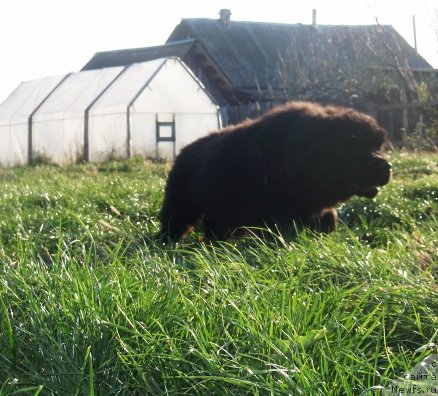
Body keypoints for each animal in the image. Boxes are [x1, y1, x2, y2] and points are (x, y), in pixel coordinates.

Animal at [159, 100, 392, 240]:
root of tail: (184, 151)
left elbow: (327, 218)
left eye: (377, 146)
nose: (388, 167)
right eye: (356, 149)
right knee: (178, 221)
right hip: (182, 202)